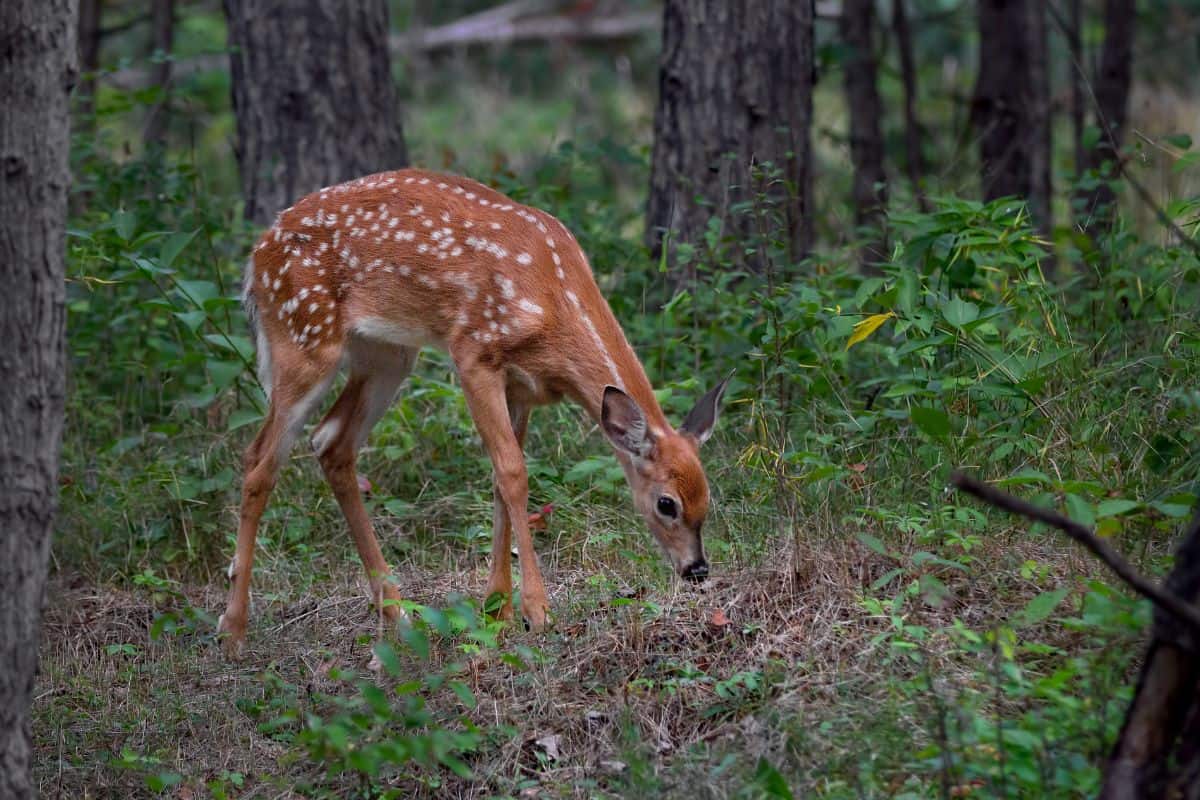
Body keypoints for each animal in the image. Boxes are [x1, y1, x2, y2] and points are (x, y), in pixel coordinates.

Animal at [220, 167, 734, 657]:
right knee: (259, 459)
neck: (553, 305)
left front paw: (498, 611)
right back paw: (234, 630)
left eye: (707, 499)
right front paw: (537, 610)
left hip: (386, 353)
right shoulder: (473, 353)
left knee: (332, 442)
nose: (696, 569)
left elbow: (501, 481)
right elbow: (513, 474)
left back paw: (395, 614)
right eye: (666, 504)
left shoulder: (522, 388)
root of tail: (256, 254)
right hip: (303, 337)